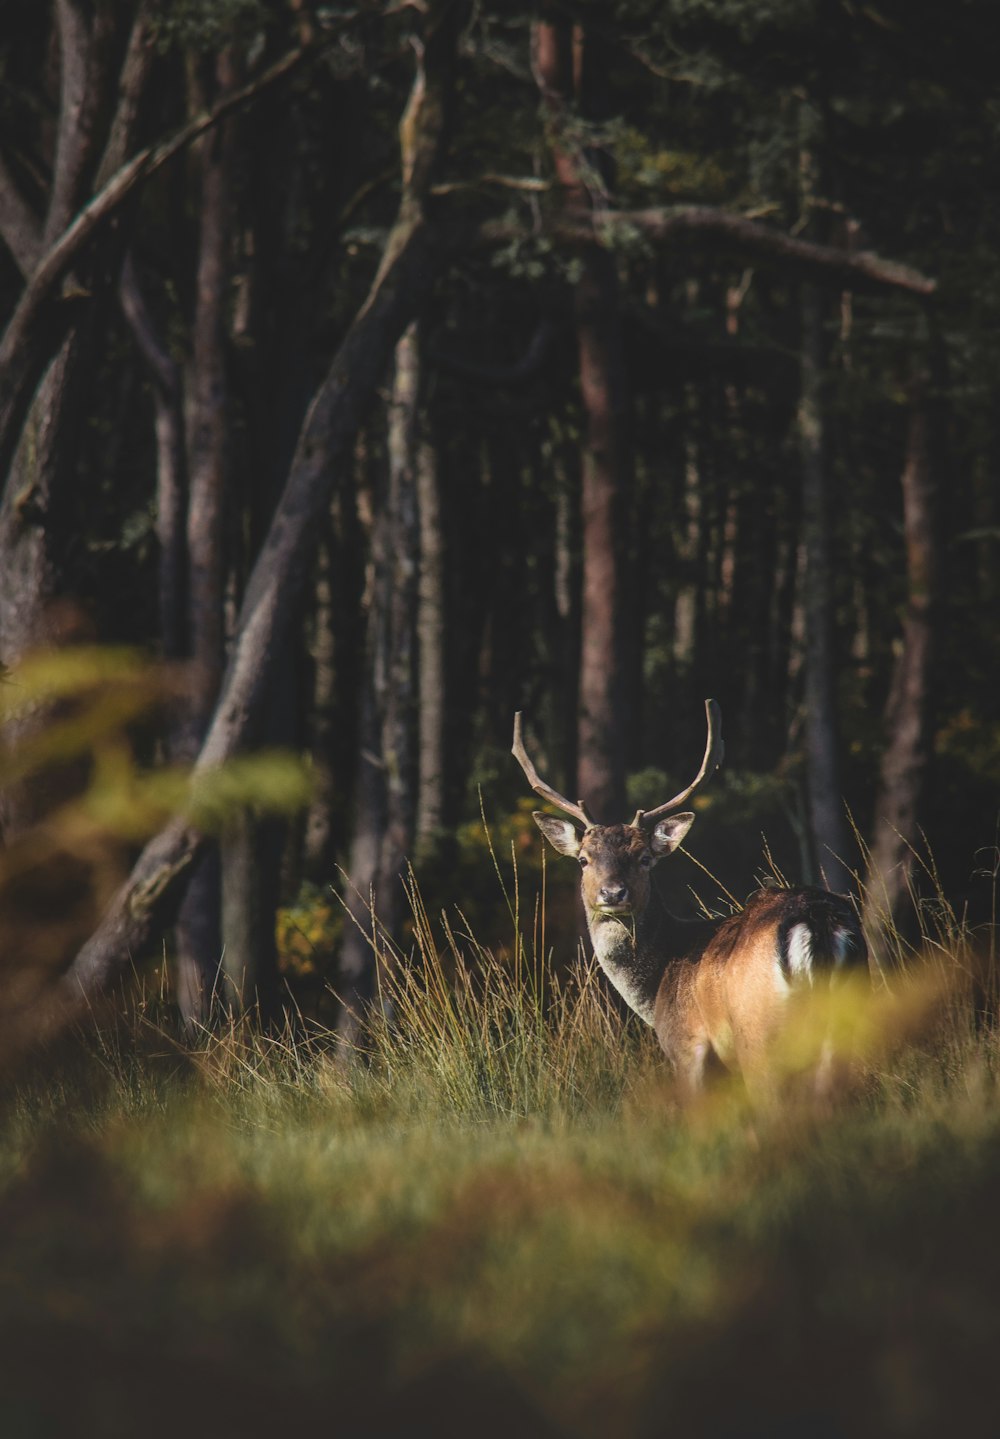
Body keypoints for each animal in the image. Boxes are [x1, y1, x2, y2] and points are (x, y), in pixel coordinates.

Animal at [512, 702, 874, 1105]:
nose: (612, 893)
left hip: (758, 1033)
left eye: (644, 858)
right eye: (583, 859)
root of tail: (817, 919)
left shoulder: (687, 1046)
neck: (656, 988)